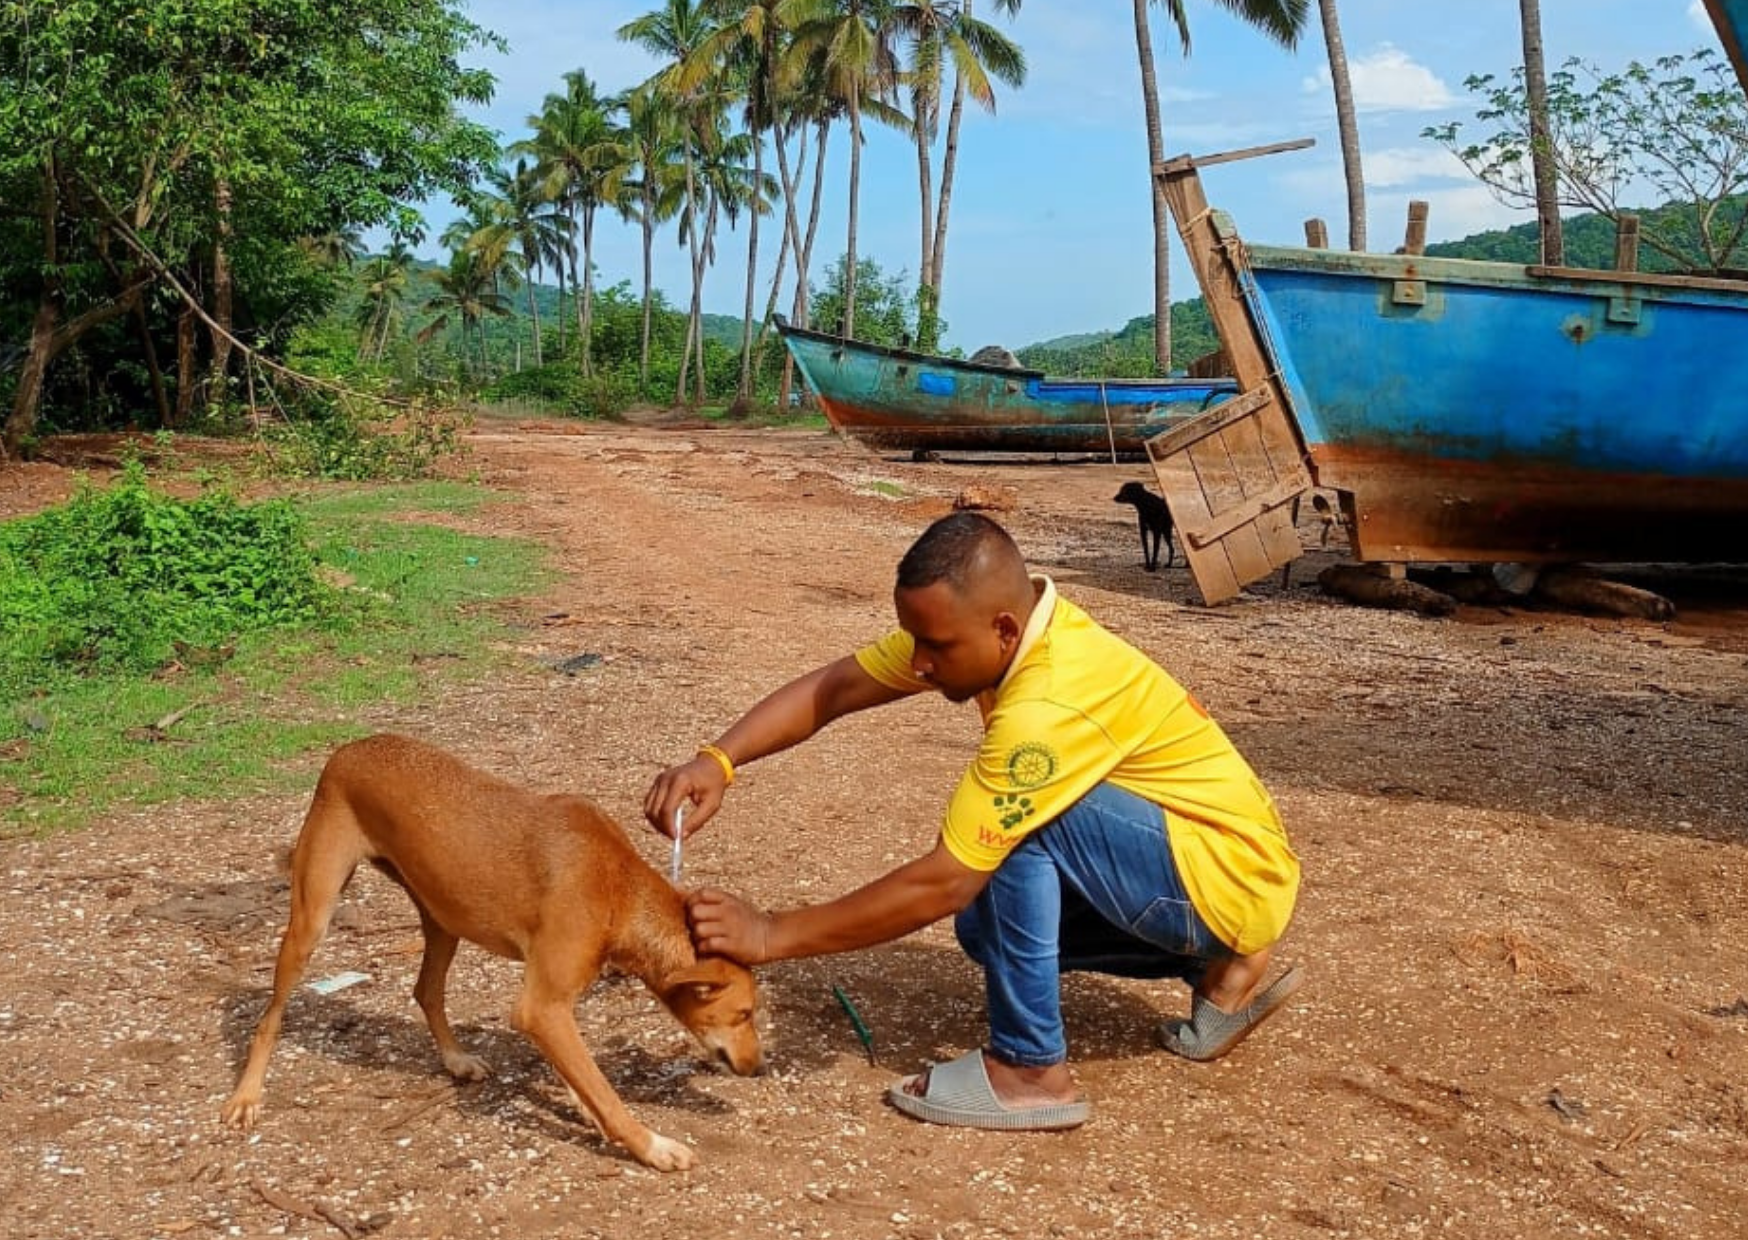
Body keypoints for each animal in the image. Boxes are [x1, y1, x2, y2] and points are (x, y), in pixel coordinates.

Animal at [216, 734, 758, 1168]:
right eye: (746, 1013)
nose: (758, 1067)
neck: (618, 889)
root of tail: (346, 749)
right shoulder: (540, 1006)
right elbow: (603, 1089)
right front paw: (652, 1146)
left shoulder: (550, 1006)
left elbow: (580, 1075)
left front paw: (586, 1108)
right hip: (313, 917)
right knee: (269, 1017)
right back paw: (245, 1097)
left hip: (442, 921)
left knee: (426, 991)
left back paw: (456, 1060)